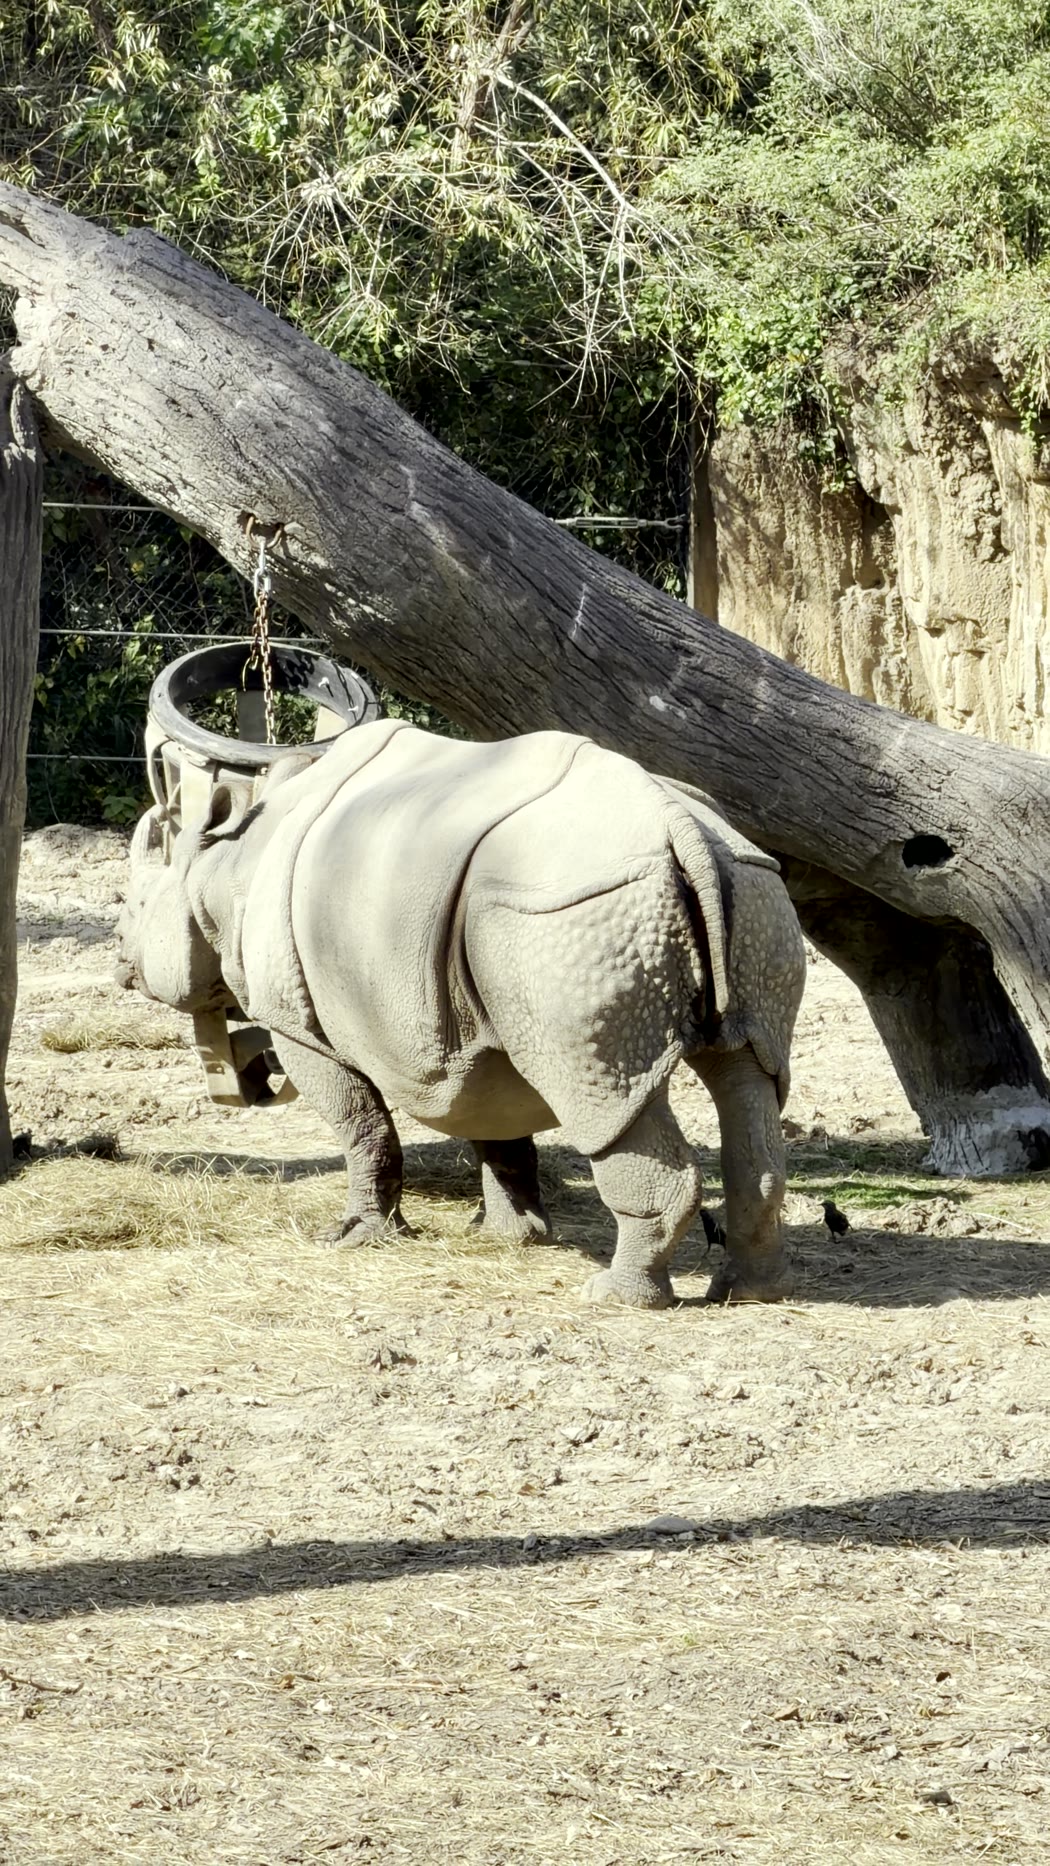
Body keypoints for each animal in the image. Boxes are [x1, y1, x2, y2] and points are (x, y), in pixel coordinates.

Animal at [116, 720, 806, 1307]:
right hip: (748, 888)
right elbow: (494, 1122)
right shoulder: (477, 1026)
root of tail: (681, 826)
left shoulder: (296, 1022)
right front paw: (510, 1237)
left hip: (568, 916)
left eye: (133, 905)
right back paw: (750, 1292)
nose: (121, 965)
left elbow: (359, 1123)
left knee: (601, 1094)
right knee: (747, 1072)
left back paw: (615, 1298)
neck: (224, 861)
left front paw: (356, 1236)